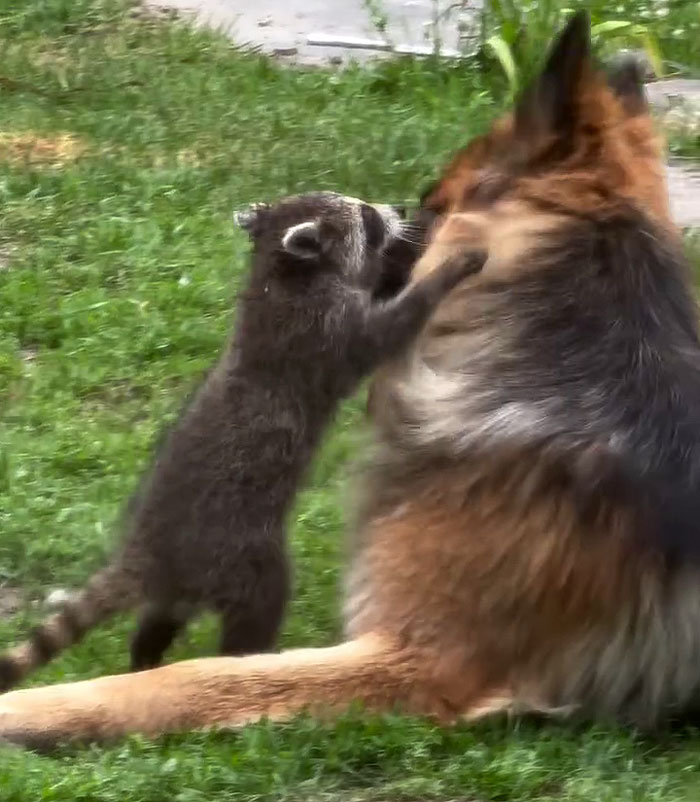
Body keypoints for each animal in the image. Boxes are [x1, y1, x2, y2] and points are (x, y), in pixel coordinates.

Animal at [0, 191, 484, 691]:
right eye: (366, 215)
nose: (395, 211)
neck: (278, 273)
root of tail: (148, 552)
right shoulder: (324, 332)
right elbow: (389, 327)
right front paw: (442, 269)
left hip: (188, 583)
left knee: (160, 619)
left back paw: (145, 657)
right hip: (236, 551)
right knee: (262, 603)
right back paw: (247, 661)